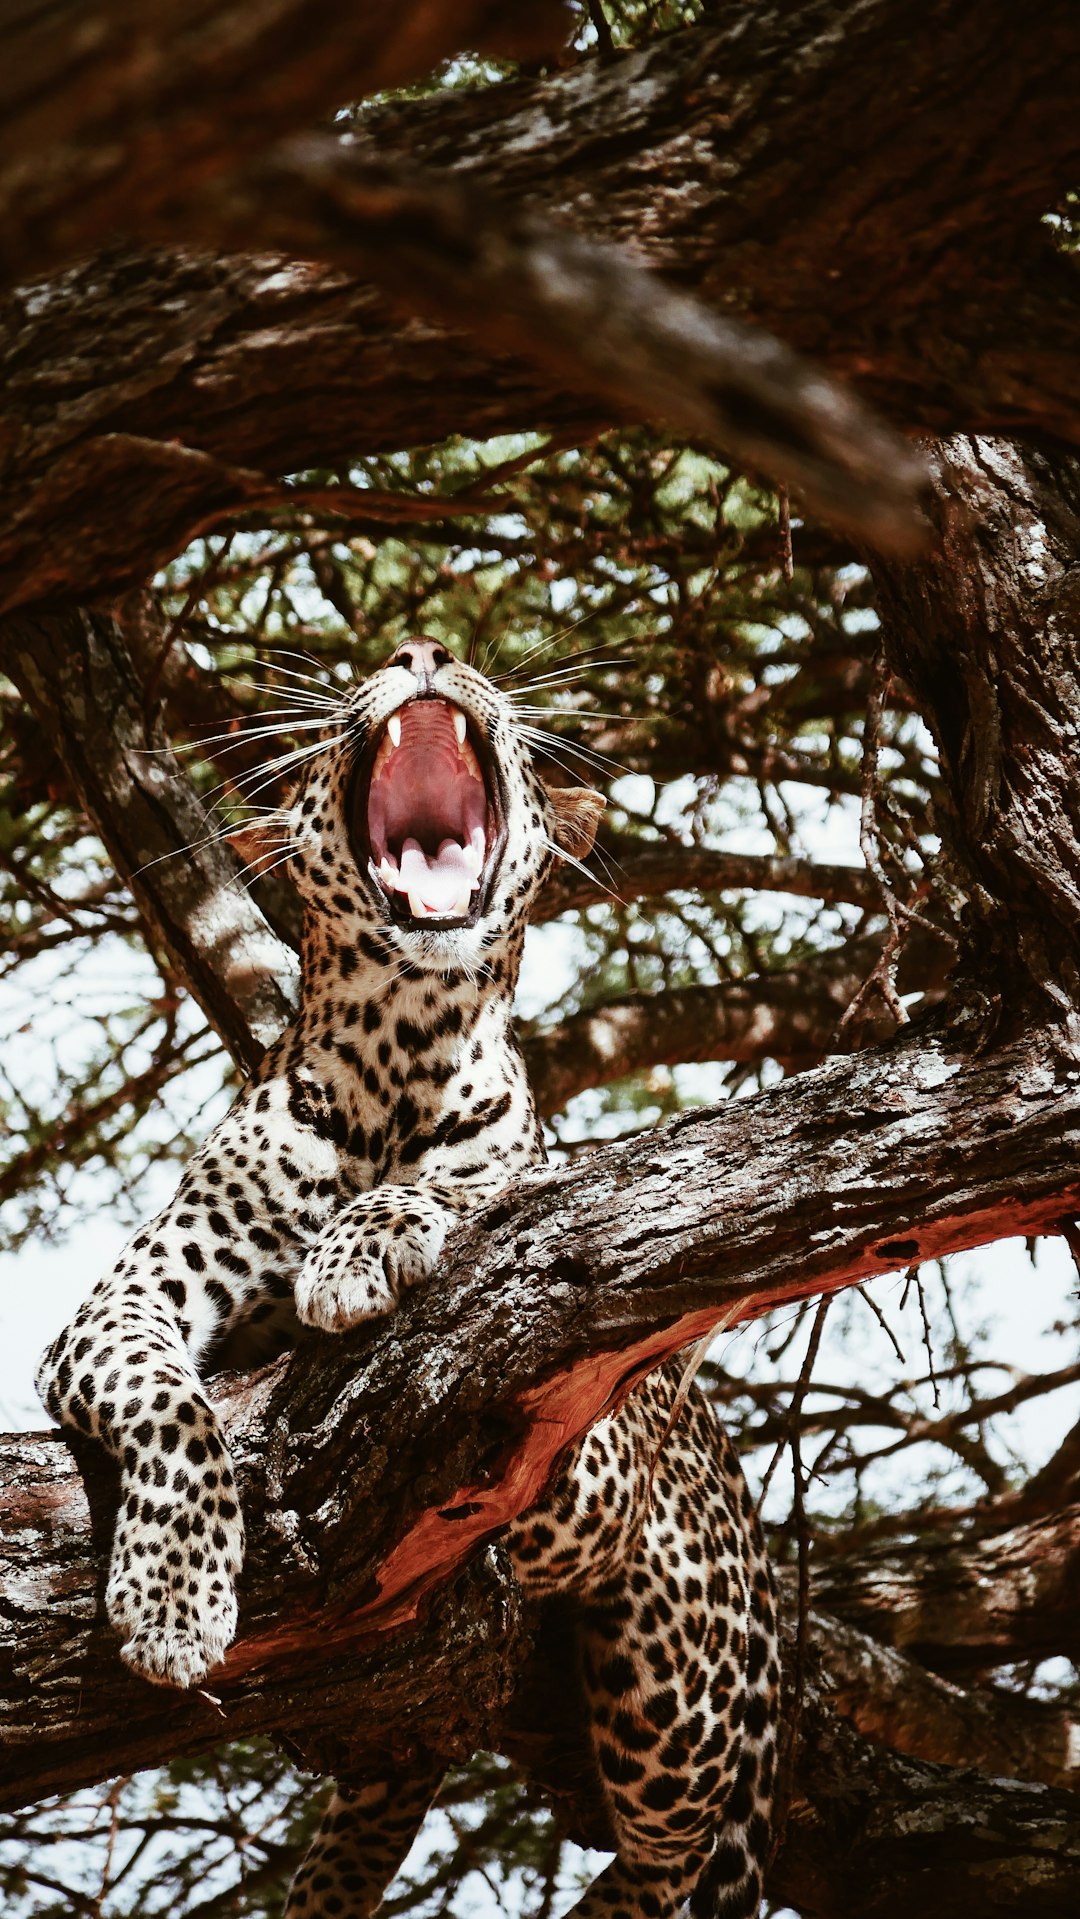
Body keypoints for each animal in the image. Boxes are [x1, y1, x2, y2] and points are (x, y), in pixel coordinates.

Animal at [35, 640, 778, 1919]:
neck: (399, 1048)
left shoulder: (585, 1440)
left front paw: (360, 1245)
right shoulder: (120, 1305)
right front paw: (175, 1601)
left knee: (664, 1867)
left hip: (677, 1674)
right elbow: (172, 1408)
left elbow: (480, 1191)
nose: (426, 652)